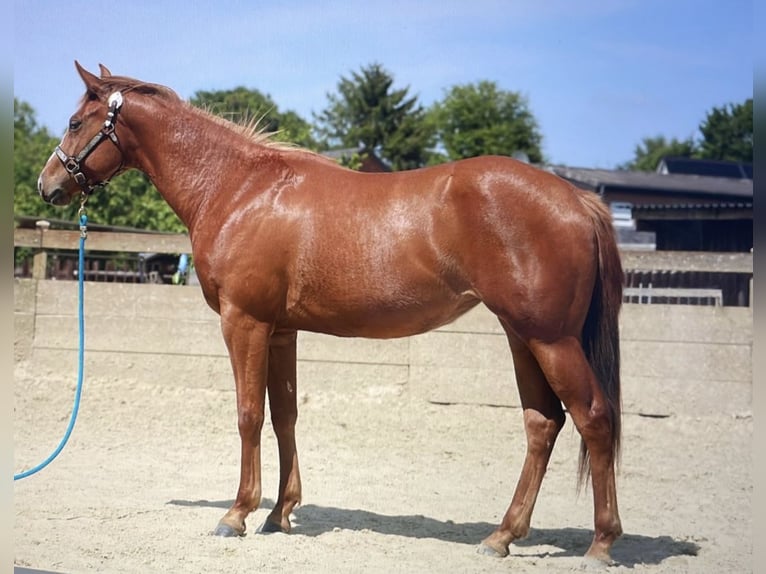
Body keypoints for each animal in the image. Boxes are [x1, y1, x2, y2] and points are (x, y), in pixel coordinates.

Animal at [37, 62, 624, 565]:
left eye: (75, 122)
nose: (48, 185)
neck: (239, 188)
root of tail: (577, 199)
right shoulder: (281, 331)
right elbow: (283, 415)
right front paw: (279, 513)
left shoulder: (244, 323)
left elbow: (248, 415)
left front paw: (237, 514)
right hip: (522, 335)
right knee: (542, 424)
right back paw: (501, 536)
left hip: (551, 339)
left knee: (594, 419)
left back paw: (600, 544)